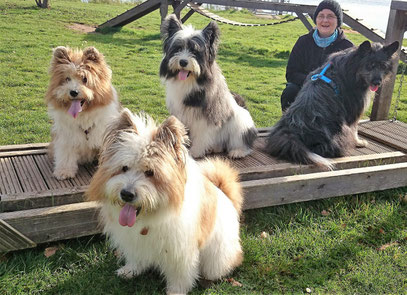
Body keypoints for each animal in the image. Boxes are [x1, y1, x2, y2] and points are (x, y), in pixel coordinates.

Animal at [45, 46, 121, 180]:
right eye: (67, 79)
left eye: (85, 79)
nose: (73, 92)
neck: (83, 115)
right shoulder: (66, 137)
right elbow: (66, 154)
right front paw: (64, 171)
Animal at [87, 109, 244, 295]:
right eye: (124, 168)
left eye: (150, 172)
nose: (126, 194)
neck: (151, 217)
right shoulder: (135, 241)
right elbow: (136, 257)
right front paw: (131, 270)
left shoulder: (181, 252)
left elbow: (180, 275)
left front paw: (176, 291)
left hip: (216, 257)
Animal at [160, 15, 258, 160]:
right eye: (178, 48)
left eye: (195, 51)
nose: (183, 62)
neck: (190, 81)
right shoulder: (180, 113)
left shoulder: (207, 114)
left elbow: (202, 133)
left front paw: (195, 151)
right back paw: (215, 148)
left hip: (239, 125)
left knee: (241, 142)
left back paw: (238, 151)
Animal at [266, 40, 400, 169]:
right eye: (370, 65)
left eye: (383, 66)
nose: (377, 82)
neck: (352, 66)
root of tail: (292, 133)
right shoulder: (353, 110)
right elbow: (355, 129)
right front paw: (358, 142)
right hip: (339, 130)